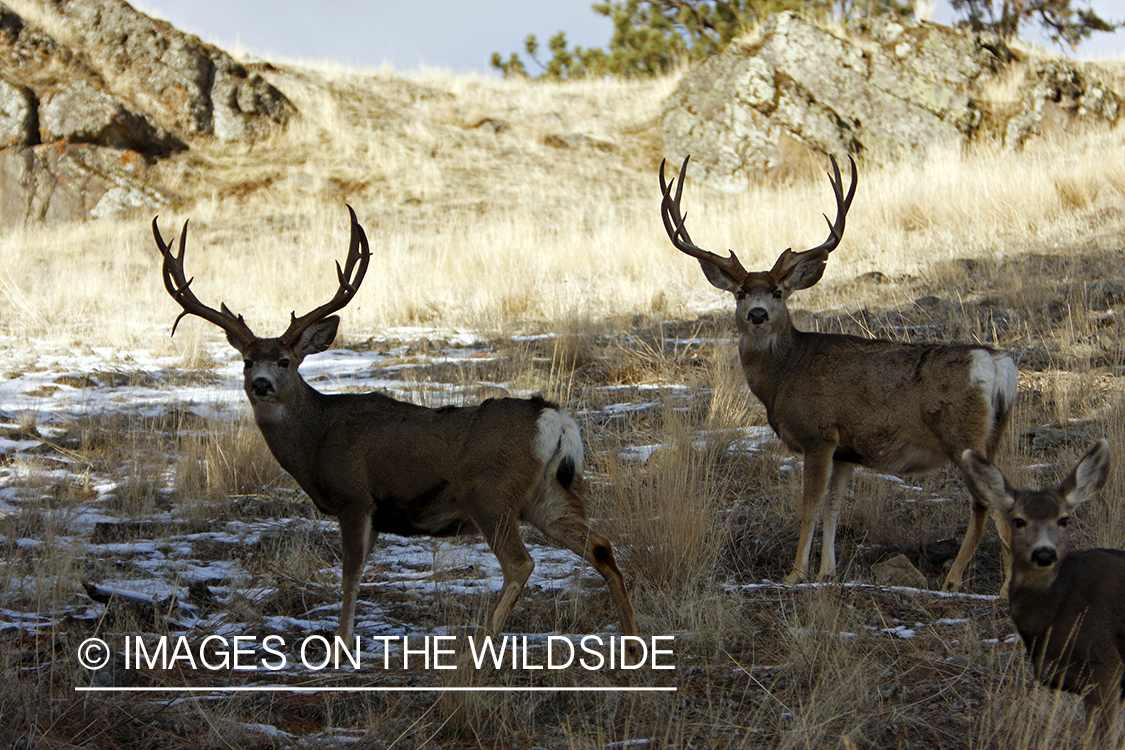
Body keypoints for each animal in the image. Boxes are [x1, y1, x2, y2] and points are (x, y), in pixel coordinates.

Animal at [153, 207, 638, 654]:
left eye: (286, 361)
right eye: (247, 360)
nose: (261, 384)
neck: (316, 438)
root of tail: (552, 417)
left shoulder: (354, 497)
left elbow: (349, 574)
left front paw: (342, 645)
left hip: (490, 493)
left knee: (520, 563)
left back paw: (480, 646)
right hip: (547, 495)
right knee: (601, 546)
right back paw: (632, 643)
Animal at [658, 155, 1018, 595]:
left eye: (778, 292)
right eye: (740, 293)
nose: (757, 314)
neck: (784, 376)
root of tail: (996, 364)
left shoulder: (818, 433)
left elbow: (810, 507)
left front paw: (795, 573)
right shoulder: (847, 448)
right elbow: (833, 507)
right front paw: (827, 571)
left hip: (962, 435)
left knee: (994, 500)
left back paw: (984, 584)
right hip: (991, 435)